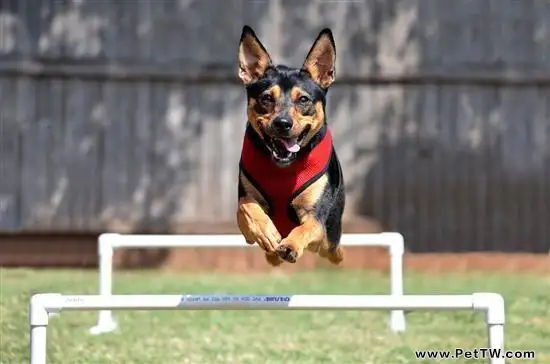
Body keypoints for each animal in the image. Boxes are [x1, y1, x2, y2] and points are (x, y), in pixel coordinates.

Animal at [236, 24, 344, 264]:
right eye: (267, 98)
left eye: (303, 99)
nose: (283, 123)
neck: (284, 168)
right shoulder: (244, 201)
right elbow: (246, 208)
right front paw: (266, 232)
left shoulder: (317, 218)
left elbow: (307, 227)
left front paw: (291, 245)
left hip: (330, 240)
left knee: (332, 249)